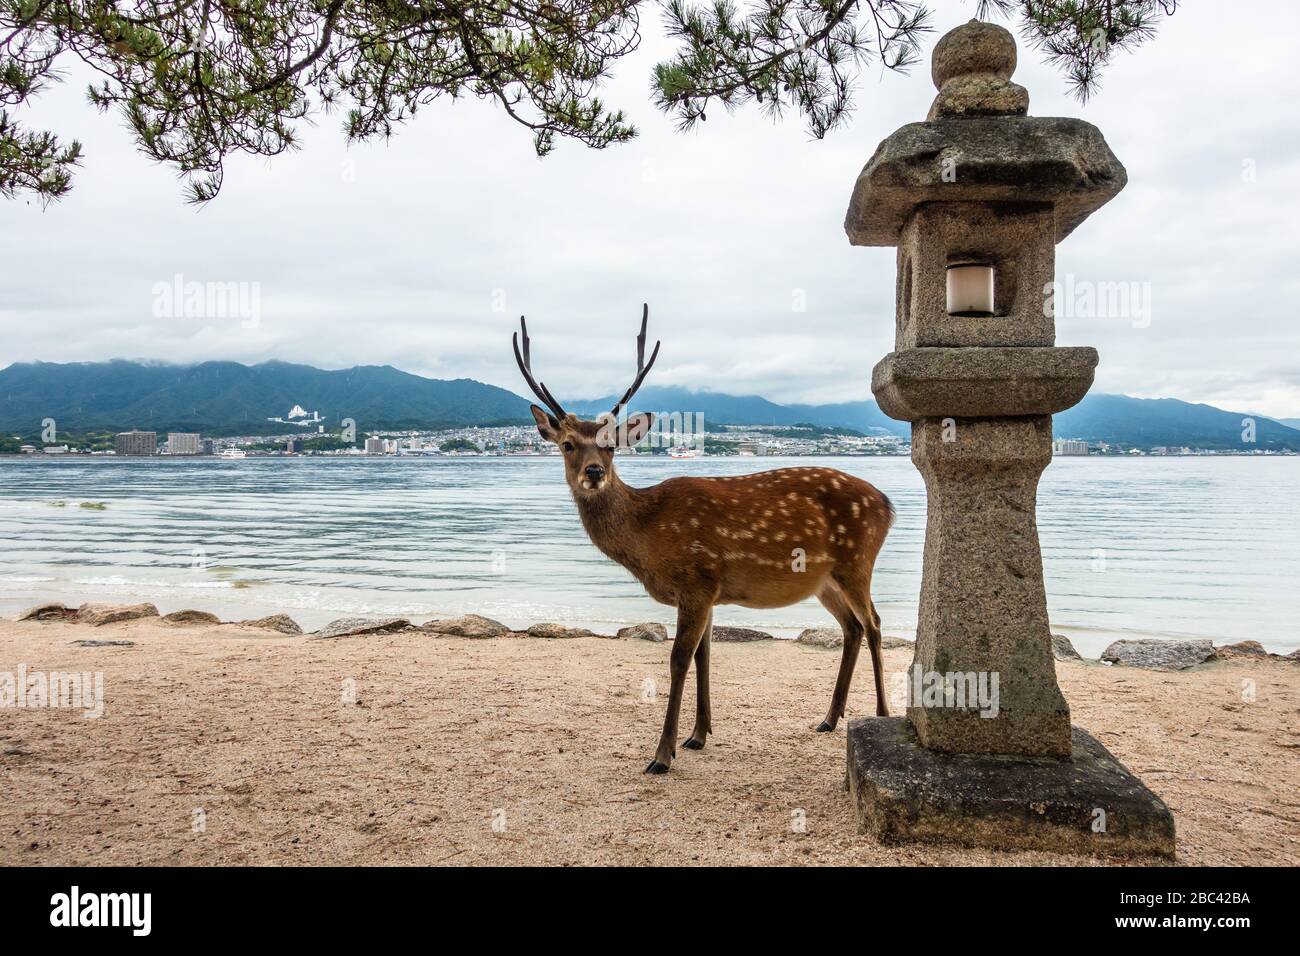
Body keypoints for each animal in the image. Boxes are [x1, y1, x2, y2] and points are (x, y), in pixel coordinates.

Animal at [512, 308, 899, 780]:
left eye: (610, 447)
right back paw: (828, 718)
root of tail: (887, 505)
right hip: (823, 580)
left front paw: (662, 754)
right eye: (567, 444)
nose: (594, 473)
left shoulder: (696, 580)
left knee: (875, 624)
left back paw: (881, 713)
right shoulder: (709, 590)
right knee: (852, 626)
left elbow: (680, 658)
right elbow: (705, 655)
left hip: (857, 560)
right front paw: (698, 736)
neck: (648, 539)